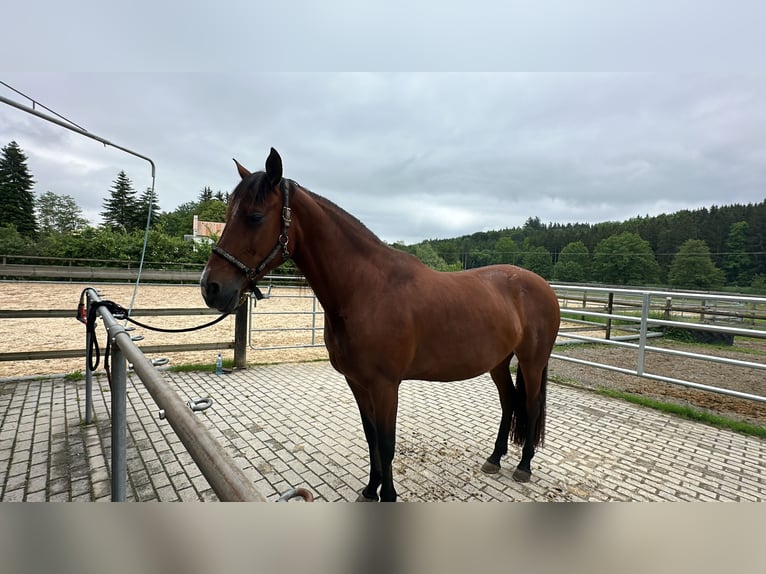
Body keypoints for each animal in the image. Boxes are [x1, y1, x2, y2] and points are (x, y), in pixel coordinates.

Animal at [201, 148, 560, 504]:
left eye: (255, 217)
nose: (211, 287)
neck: (366, 291)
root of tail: (541, 285)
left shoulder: (386, 386)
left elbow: (386, 444)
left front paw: (387, 494)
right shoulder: (358, 383)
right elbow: (371, 436)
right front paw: (369, 490)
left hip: (531, 361)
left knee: (529, 407)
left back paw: (524, 466)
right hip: (499, 361)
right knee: (509, 402)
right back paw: (495, 459)